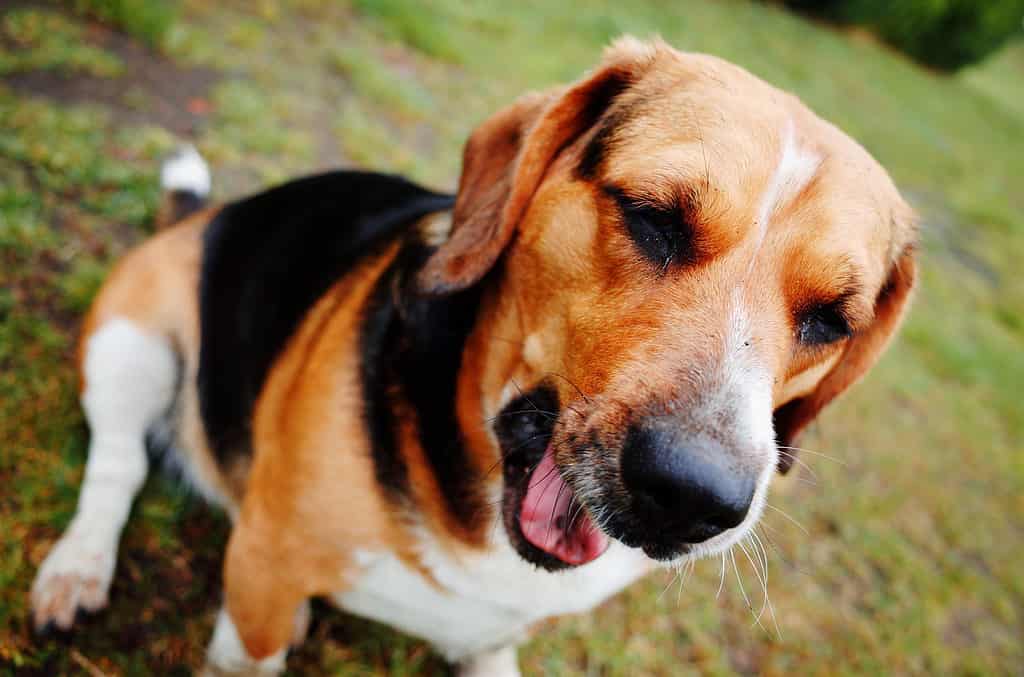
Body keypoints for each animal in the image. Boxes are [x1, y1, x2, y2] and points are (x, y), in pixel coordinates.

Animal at [28, 39, 917, 671]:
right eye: (650, 215)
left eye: (832, 319)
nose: (693, 497)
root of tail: (207, 214)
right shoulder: (261, 583)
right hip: (132, 341)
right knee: (118, 461)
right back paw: (77, 567)